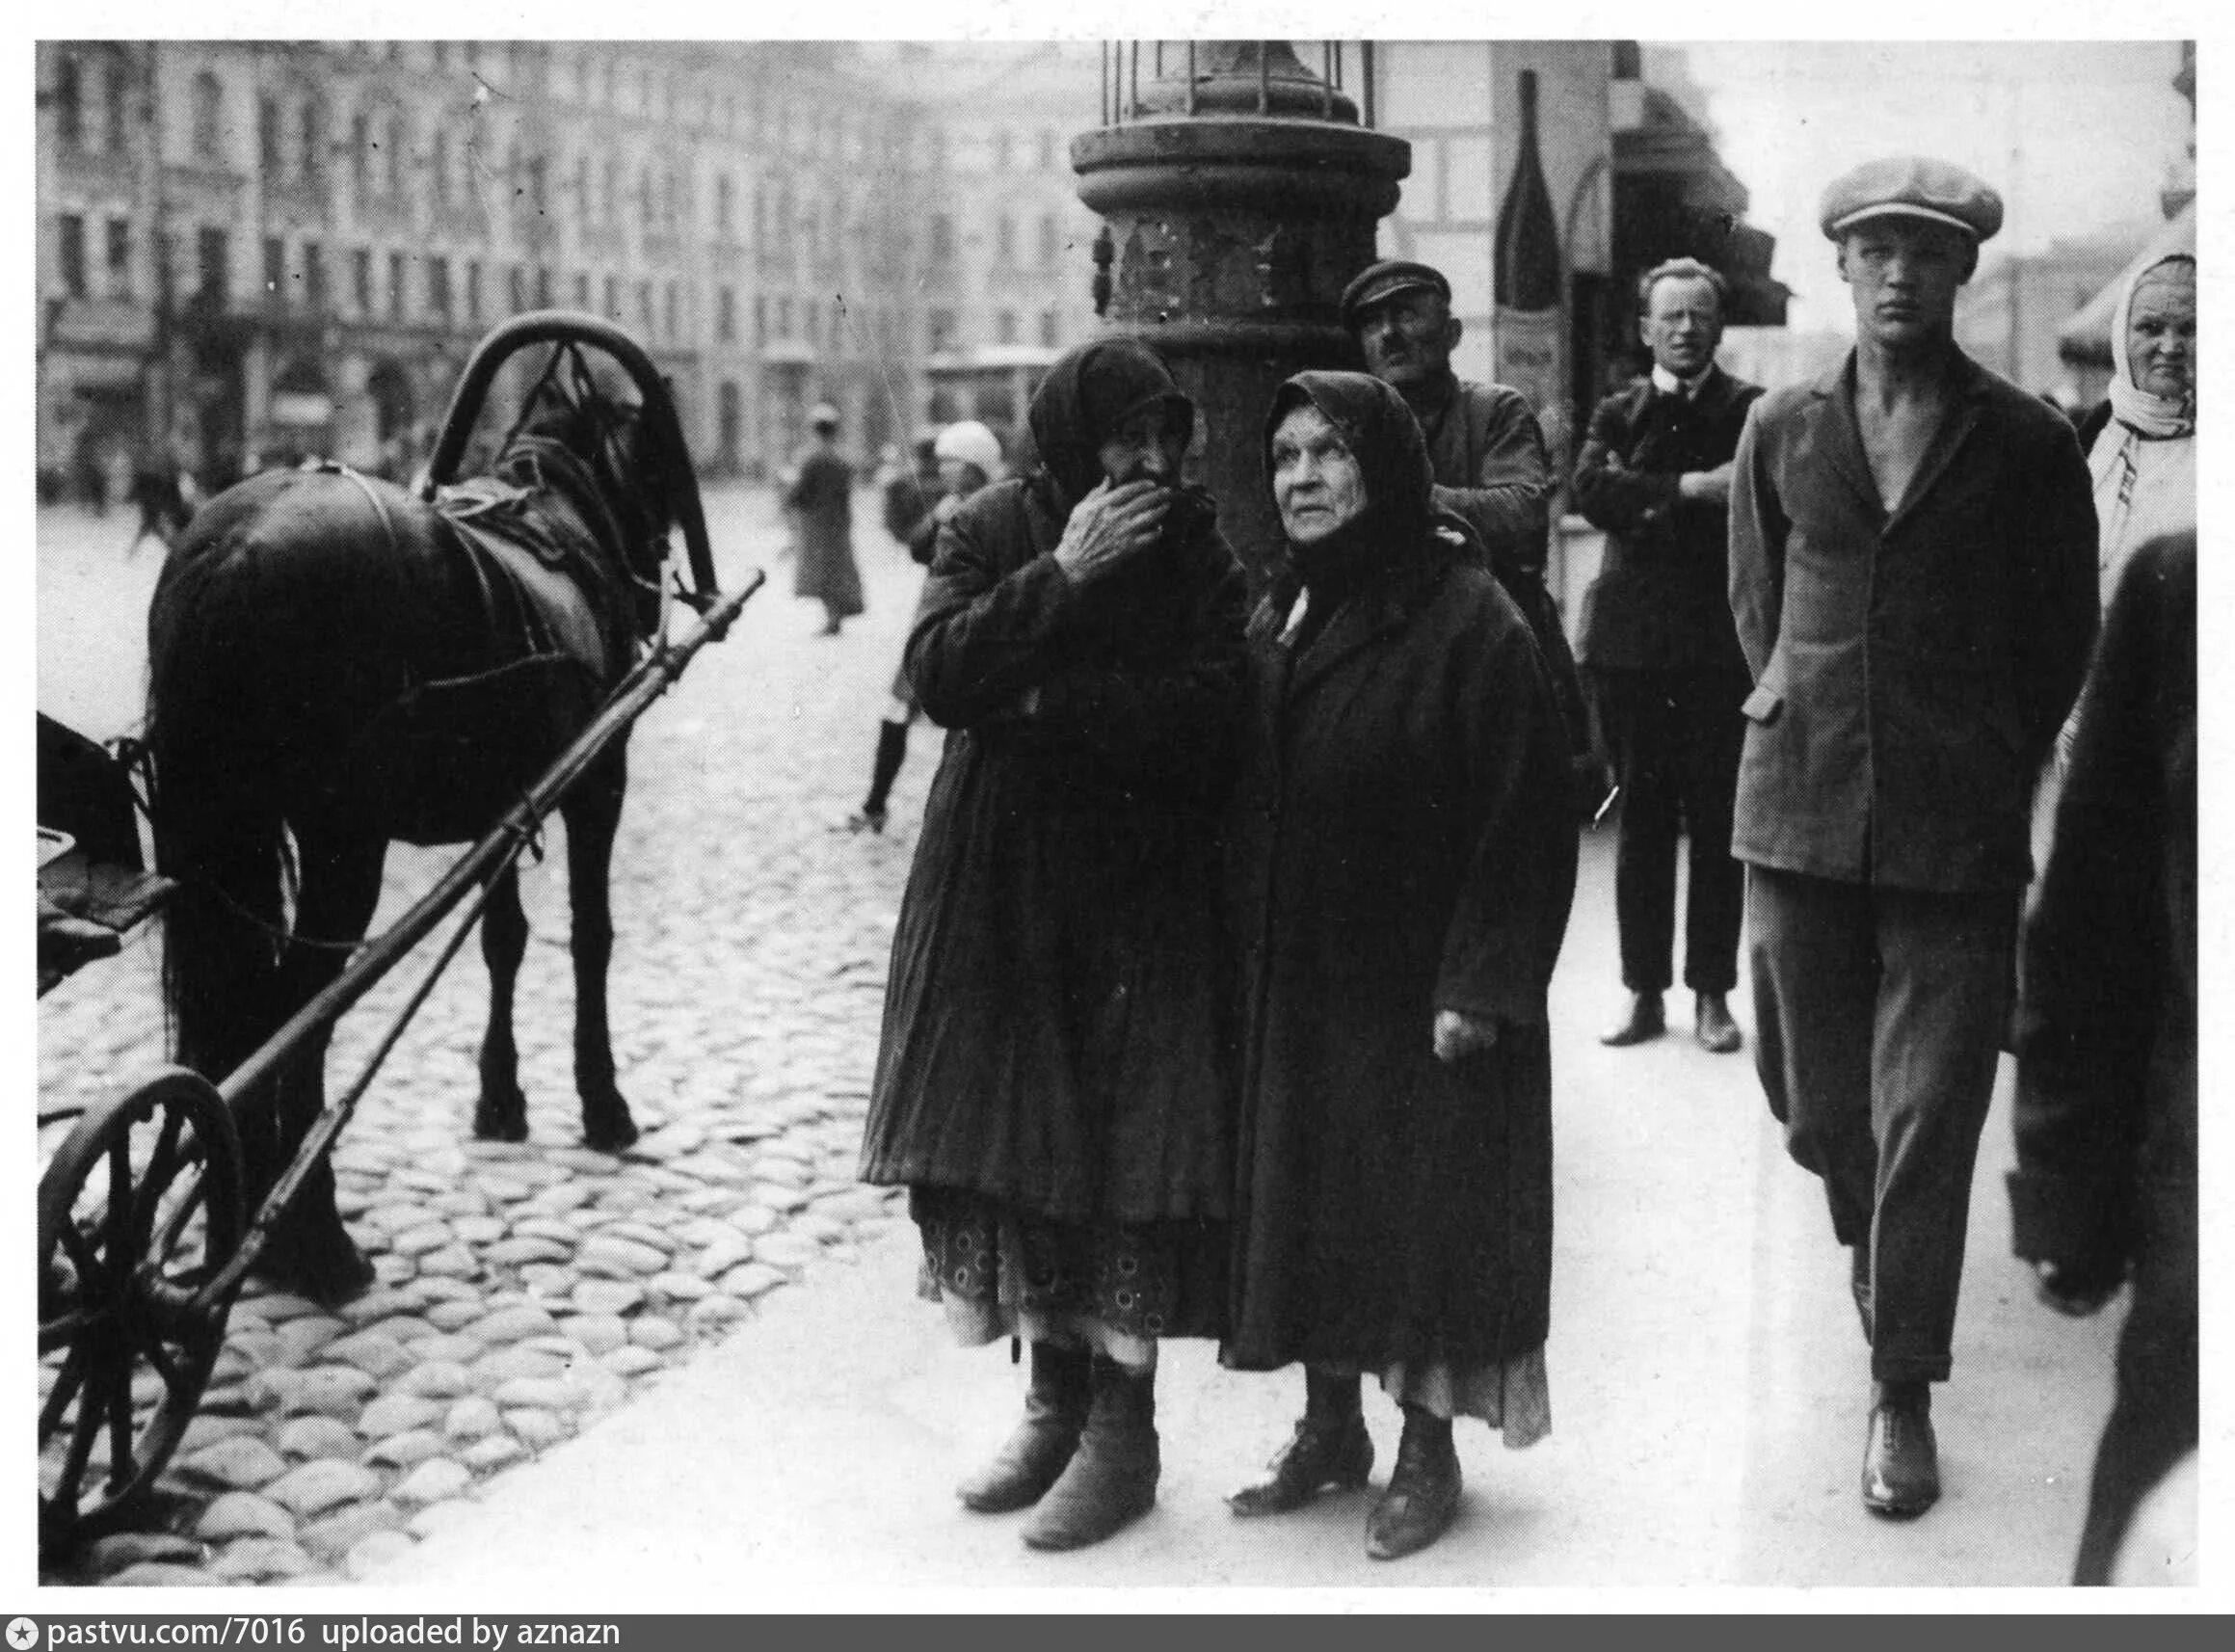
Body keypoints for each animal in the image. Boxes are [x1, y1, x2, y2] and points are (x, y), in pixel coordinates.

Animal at [146, 310, 715, 1305]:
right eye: (654, 469)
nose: (653, 581)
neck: (556, 511)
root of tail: (231, 551)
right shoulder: (594, 782)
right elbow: (590, 936)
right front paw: (602, 1102)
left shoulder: (507, 807)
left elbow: (504, 939)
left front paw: (500, 1098)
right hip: (343, 843)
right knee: (297, 1009)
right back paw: (313, 1243)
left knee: (231, 1023)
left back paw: (228, 1237)